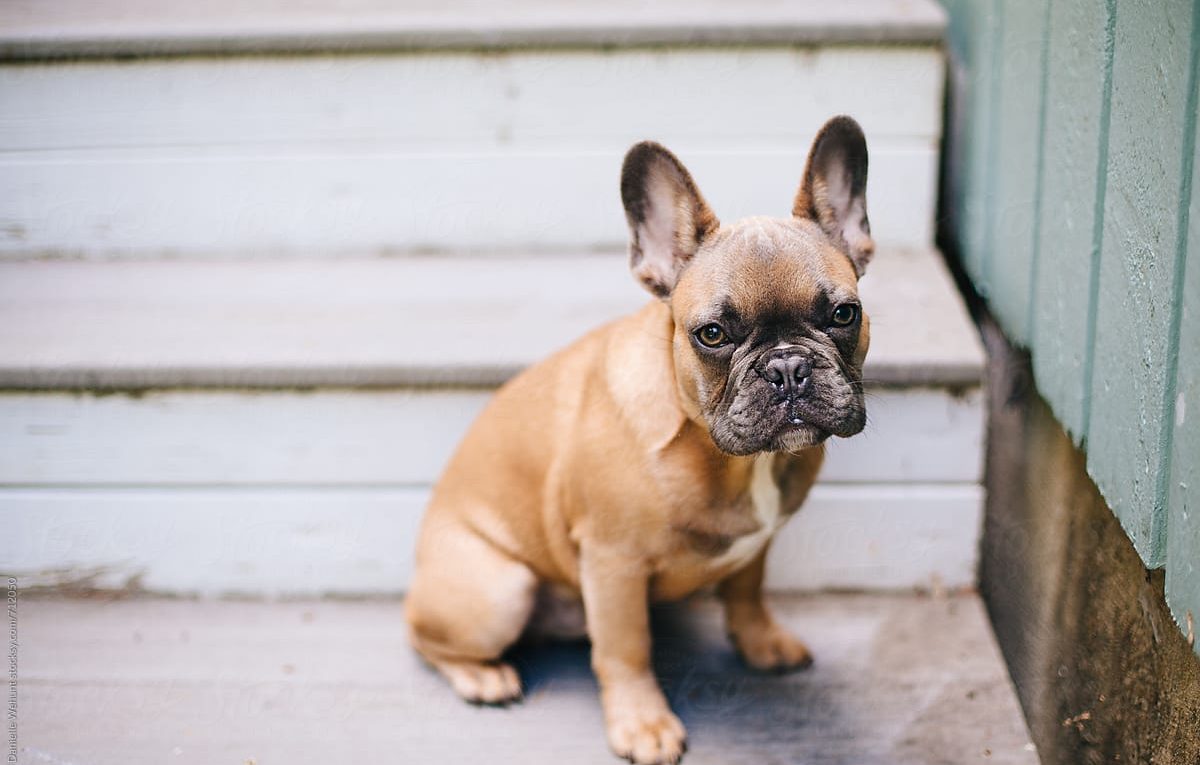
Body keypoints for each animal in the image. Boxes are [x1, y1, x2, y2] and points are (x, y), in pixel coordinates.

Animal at [408, 115, 878, 765]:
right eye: (712, 334)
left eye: (843, 315)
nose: (787, 367)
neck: (725, 459)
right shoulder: (614, 564)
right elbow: (626, 650)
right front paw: (644, 724)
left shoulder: (758, 543)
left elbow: (748, 590)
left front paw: (761, 642)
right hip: (498, 590)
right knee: (426, 637)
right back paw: (482, 676)